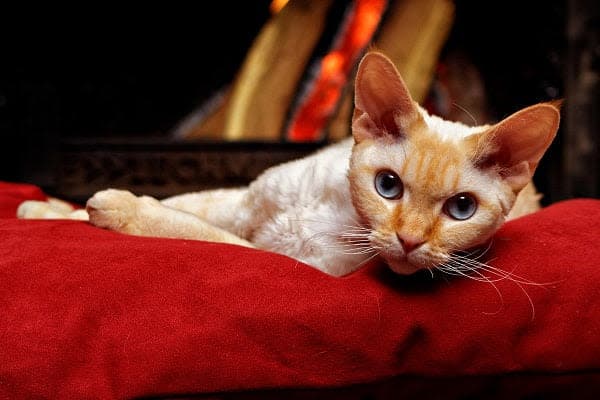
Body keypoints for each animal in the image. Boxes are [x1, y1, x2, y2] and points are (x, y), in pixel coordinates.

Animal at [18, 51, 564, 278]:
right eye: (387, 186)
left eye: (461, 210)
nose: (409, 242)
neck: (336, 214)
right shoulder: (242, 202)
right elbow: (185, 205)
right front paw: (48, 212)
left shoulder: (284, 261)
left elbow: (191, 229)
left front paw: (116, 208)